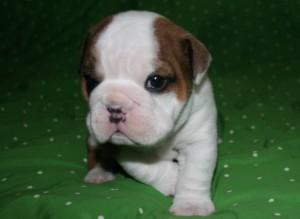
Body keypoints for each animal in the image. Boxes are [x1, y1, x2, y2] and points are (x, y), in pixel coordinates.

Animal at [78, 10, 217, 216]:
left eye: (156, 81)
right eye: (91, 81)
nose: (115, 107)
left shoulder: (198, 139)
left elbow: (194, 172)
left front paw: (191, 205)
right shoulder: (125, 148)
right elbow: (143, 168)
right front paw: (172, 178)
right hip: (93, 137)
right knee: (96, 149)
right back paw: (98, 173)